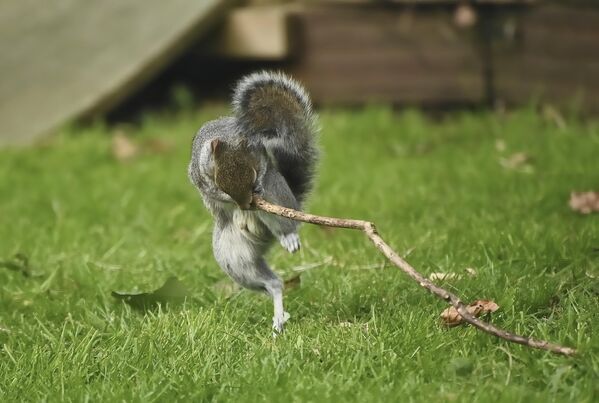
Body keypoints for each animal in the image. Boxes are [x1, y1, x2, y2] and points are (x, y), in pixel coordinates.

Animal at [188, 72, 318, 334]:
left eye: (253, 172)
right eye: (218, 178)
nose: (246, 204)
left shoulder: (261, 159)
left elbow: (265, 168)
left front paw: (257, 185)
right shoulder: (198, 172)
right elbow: (209, 190)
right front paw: (224, 197)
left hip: (278, 198)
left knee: (284, 226)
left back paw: (288, 237)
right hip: (235, 260)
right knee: (274, 283)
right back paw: (279, 317)